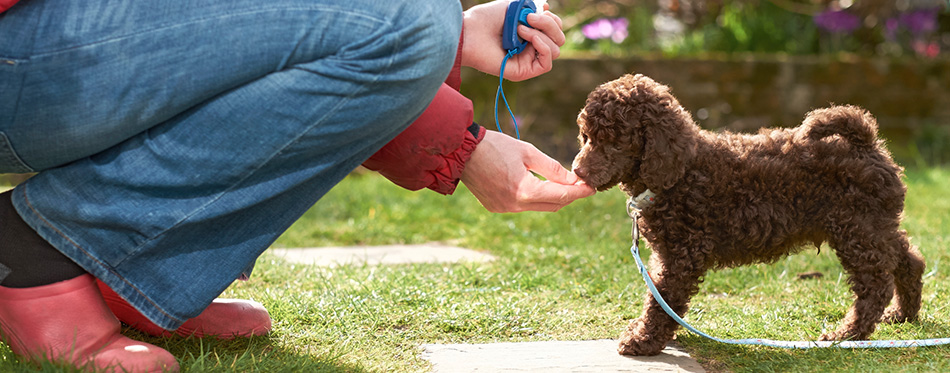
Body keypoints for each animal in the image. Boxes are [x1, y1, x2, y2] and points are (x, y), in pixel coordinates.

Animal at [576, 72, 924, 354]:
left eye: (615, 142)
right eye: (586, 137)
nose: (578, 171)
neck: (682, 171)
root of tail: (866, 143)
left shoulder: (681, 254)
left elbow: (661, 299)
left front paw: (643, 340)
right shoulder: (669, 254)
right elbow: (660, 297)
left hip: (857, 229)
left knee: (875, 285)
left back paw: (848, 335)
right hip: (874, 225)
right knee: (908, 259)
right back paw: (903, 314)